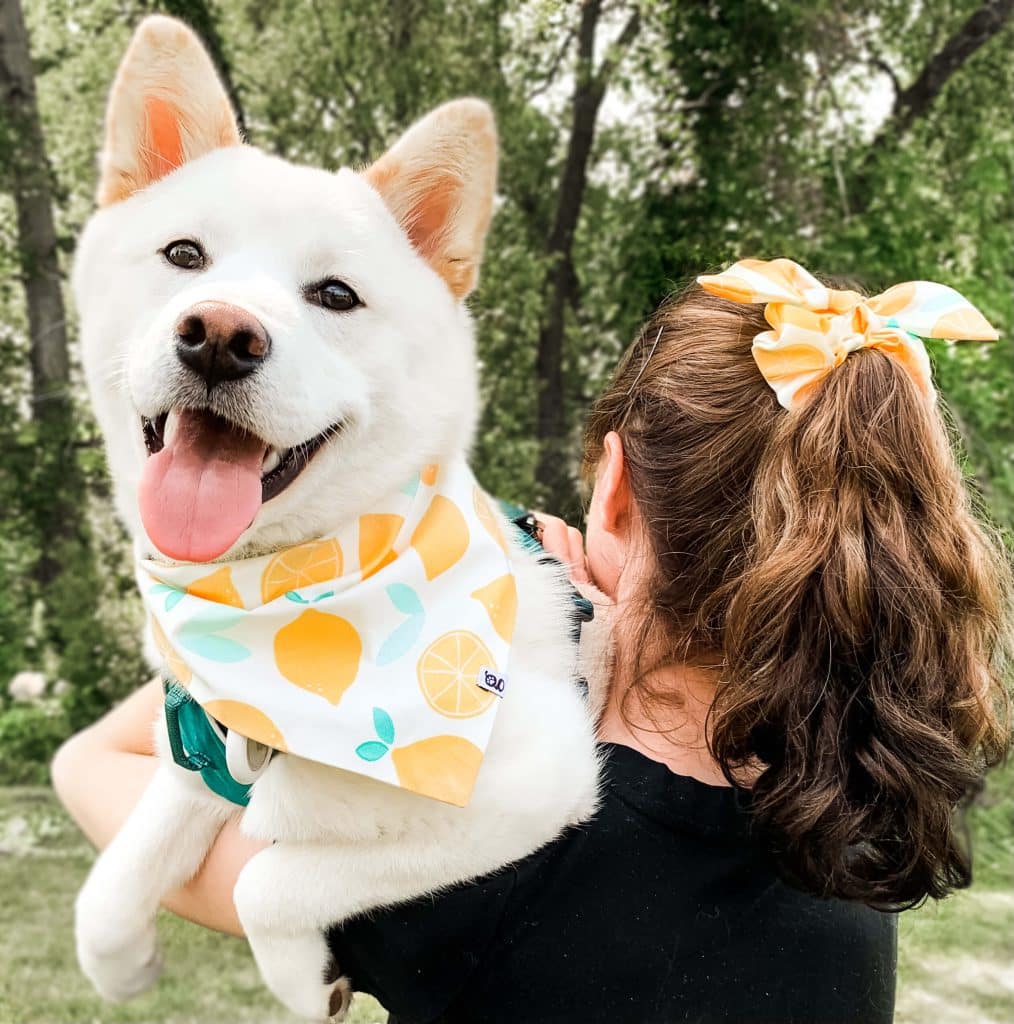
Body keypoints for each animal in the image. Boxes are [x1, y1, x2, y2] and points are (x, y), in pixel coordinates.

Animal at [75, 18, 598, 1024]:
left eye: (335, 296)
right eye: (184, 256)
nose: (220, 335)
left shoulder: (536, 781)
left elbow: (266, 880)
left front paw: (299, 976)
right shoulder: (201, 751)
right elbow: (114, 880)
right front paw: (123, 962)